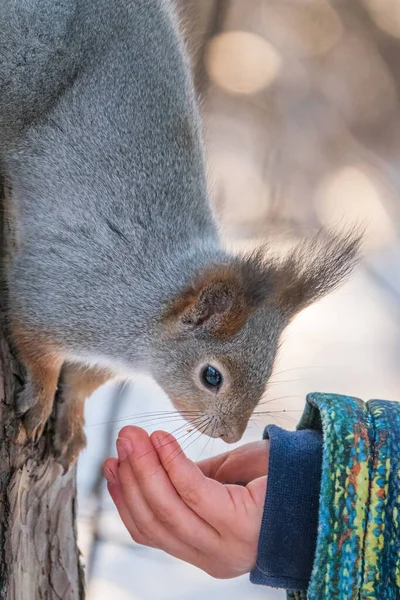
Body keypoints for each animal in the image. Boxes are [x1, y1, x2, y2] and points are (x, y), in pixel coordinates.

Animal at [0, 0, 362, 468]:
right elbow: (35, 342)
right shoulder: (65, 296)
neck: (148, 316)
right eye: (212, 376)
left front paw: (73, 421)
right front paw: (41, 400)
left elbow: (81, 380)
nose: (231, 435)